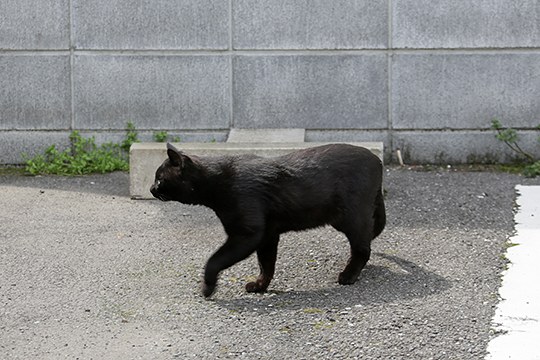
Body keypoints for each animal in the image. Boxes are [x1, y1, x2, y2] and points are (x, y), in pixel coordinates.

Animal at [151, 142, 384, 296]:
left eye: (160, 179)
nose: (151, 188)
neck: (217, 181)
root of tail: (378, 161)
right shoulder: (268, 235)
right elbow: (266, 264)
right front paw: (260, 286)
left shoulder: (248, 234)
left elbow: (214, 260)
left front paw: (207, 287)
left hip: (351, 218)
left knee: (362, 248)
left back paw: (349, 275)